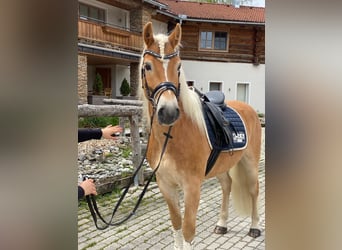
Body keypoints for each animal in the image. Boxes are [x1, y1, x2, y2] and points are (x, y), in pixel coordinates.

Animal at [139, 22, 262, 249]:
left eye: (178, 67)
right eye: (148, 66)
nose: (169, 112)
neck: (171, 138)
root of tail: (247, 107)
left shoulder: (192, 186)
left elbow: (188, 231)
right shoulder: (165, 185)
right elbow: (176, 225)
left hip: (250, 163)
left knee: (253, 190)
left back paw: (255, 227)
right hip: (222, 165)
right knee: (227, 186)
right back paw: (222, 224)